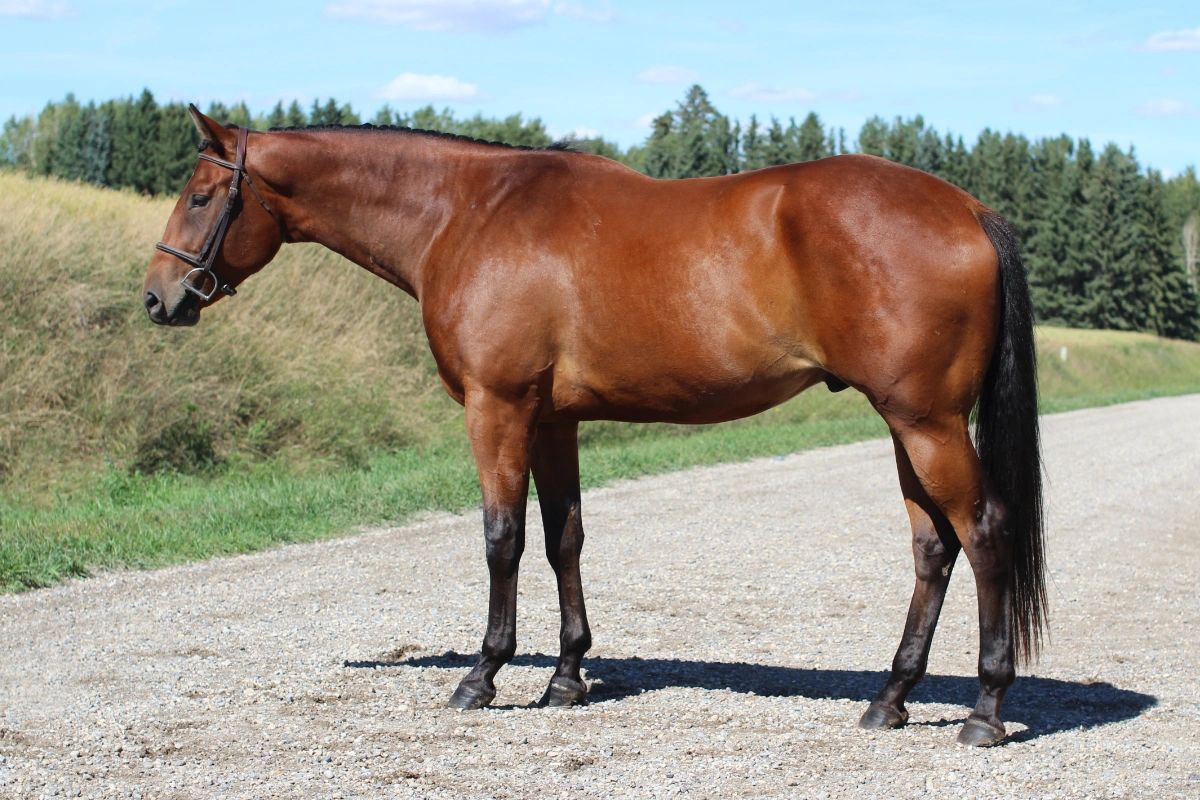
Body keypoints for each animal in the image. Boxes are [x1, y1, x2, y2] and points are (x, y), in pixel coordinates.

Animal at [143, 105, 1046, 747]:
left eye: (200, 196)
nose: (158, 298)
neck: (467, 213)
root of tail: (968, 207)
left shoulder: (498, 407)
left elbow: (501, 537)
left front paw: (482, 676)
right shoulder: (552, 421)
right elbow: (562, 538)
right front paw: (567, 676)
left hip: (927, 422)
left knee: (985, 533)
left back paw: (983, 711)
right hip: (905, 424)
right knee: (934, 548)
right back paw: (889, 700)